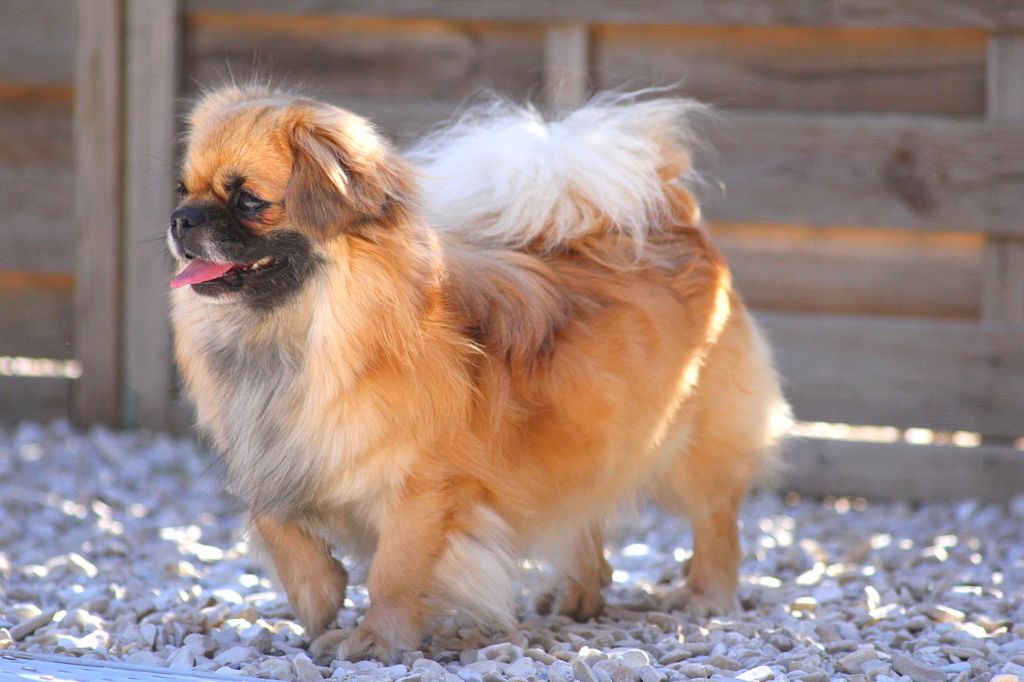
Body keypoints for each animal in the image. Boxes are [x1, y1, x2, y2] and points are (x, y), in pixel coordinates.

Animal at [167, 84, 790, 663]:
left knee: (715, 518)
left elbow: (393, 571)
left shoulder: (423, 489)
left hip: (693, 446)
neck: (298, 338)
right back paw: (576, 593)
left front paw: (375, 639)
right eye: (183, 189)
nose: (181, 219)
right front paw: (319, 594)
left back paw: (706, 596)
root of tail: (674, 219)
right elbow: (272, 520)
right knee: (587, 508)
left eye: (249, 199)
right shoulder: (281, 454)